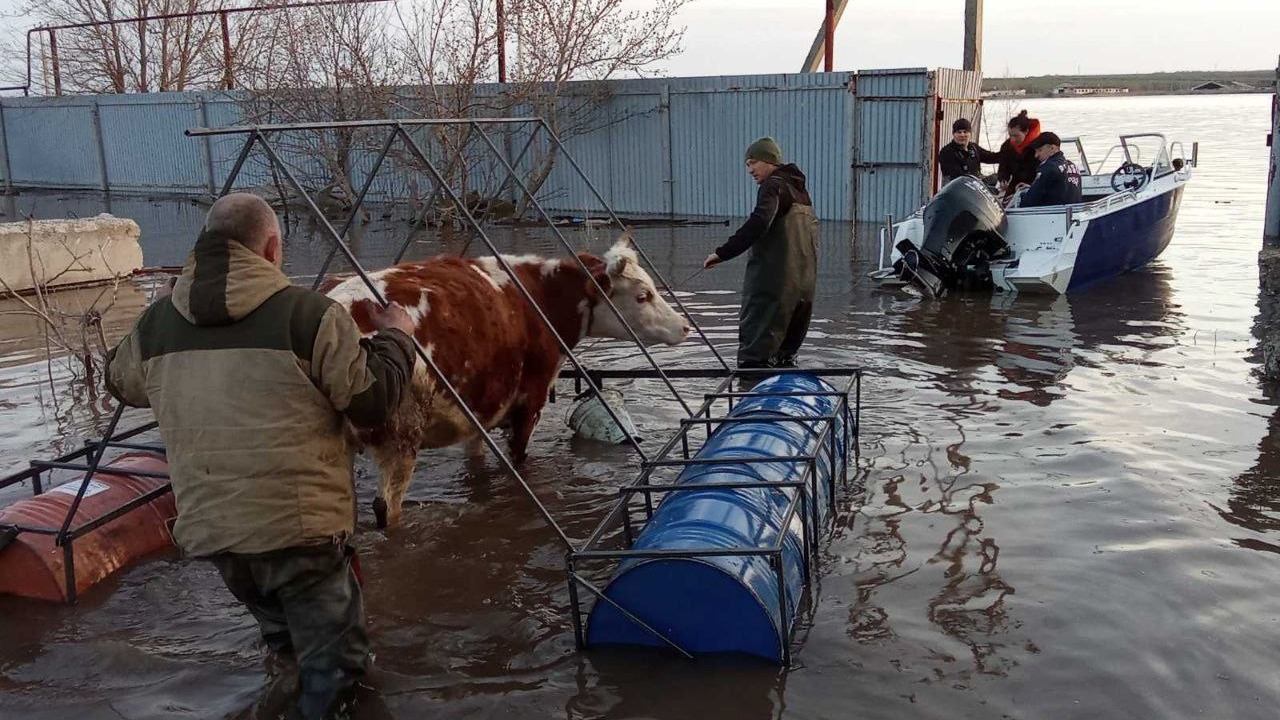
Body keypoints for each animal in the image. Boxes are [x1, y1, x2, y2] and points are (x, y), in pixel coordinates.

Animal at [327, 238, 691, 525]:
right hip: (401, 437)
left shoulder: (479, 407)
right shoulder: (529, 402)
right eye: (643, 295)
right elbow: (518, 458)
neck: (540, 297)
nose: (684, 326)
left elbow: (476, 463)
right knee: (385, 508)